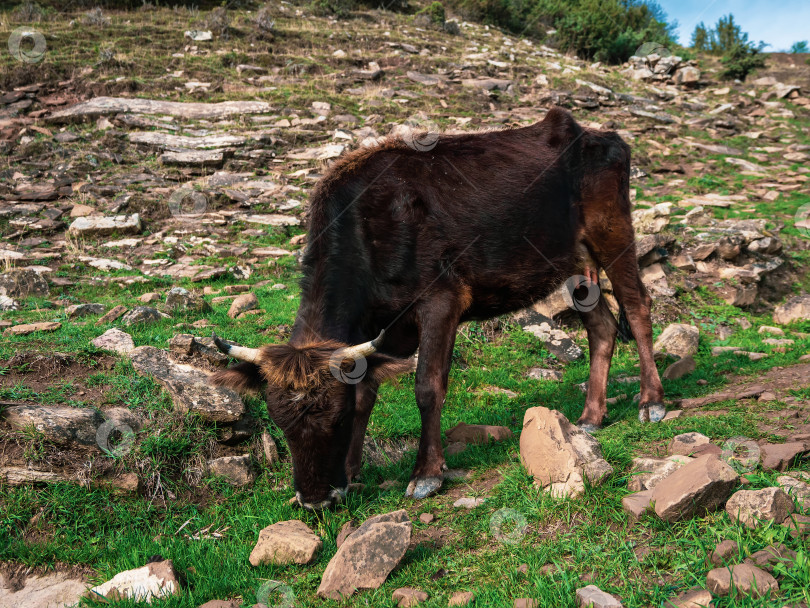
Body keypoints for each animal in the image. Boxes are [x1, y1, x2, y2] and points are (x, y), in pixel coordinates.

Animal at [208, 108, 664, 508]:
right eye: (280, 423)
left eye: (335, 419)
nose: (315, 500)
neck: (366, 229)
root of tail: (598, 134)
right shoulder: (371, 335)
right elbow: (366, 394)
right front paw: (353, 471)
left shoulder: (441, 302)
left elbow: (427, 387)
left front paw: (426, 474)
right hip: (573, 264)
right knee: (601, 326)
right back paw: (591, 416)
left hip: (612, 231)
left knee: (638, 306)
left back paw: (651, 402)